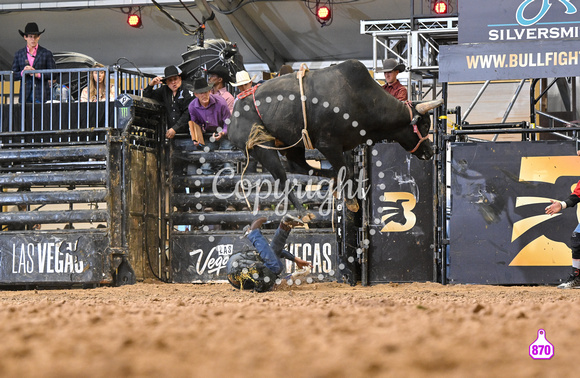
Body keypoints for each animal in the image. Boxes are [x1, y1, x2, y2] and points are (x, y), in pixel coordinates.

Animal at [228, 59, 444, 213]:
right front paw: (352, 202)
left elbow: (344, 169)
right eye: (425, 125)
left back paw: (329, 177)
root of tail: (235, 110)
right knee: (282, 177)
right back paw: (302, 213)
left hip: (292, 145)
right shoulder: (328, 145)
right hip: (261, 146)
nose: (430, 151)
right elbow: (345, 170)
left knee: (298, 166)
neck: (361, 99)